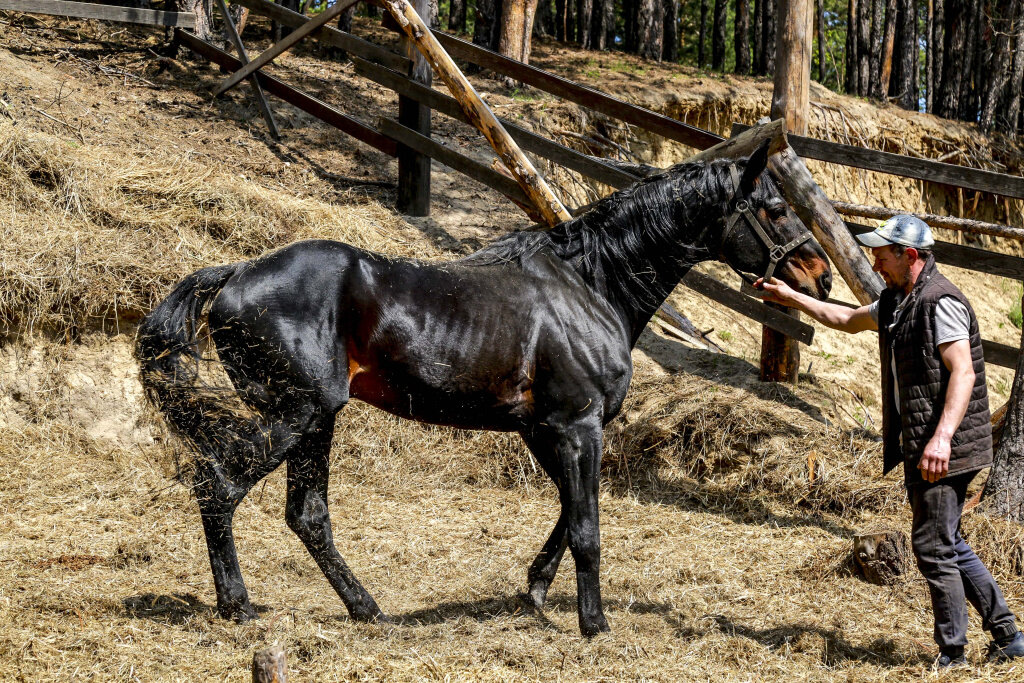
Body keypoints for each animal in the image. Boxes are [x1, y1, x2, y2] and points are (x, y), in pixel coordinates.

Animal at [136, 141, 831, 638]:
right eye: (774, 208)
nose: (820, 277)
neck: (591, 284)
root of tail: (235, 274)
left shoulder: (547, 429)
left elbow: (569, 512)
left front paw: (535, 588)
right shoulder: (577, 426)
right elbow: (587, 525)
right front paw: (593, 623)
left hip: (316, 421)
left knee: (307, 515)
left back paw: (369, 609)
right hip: (295, 414)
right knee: (219, 485)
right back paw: (239, 605)